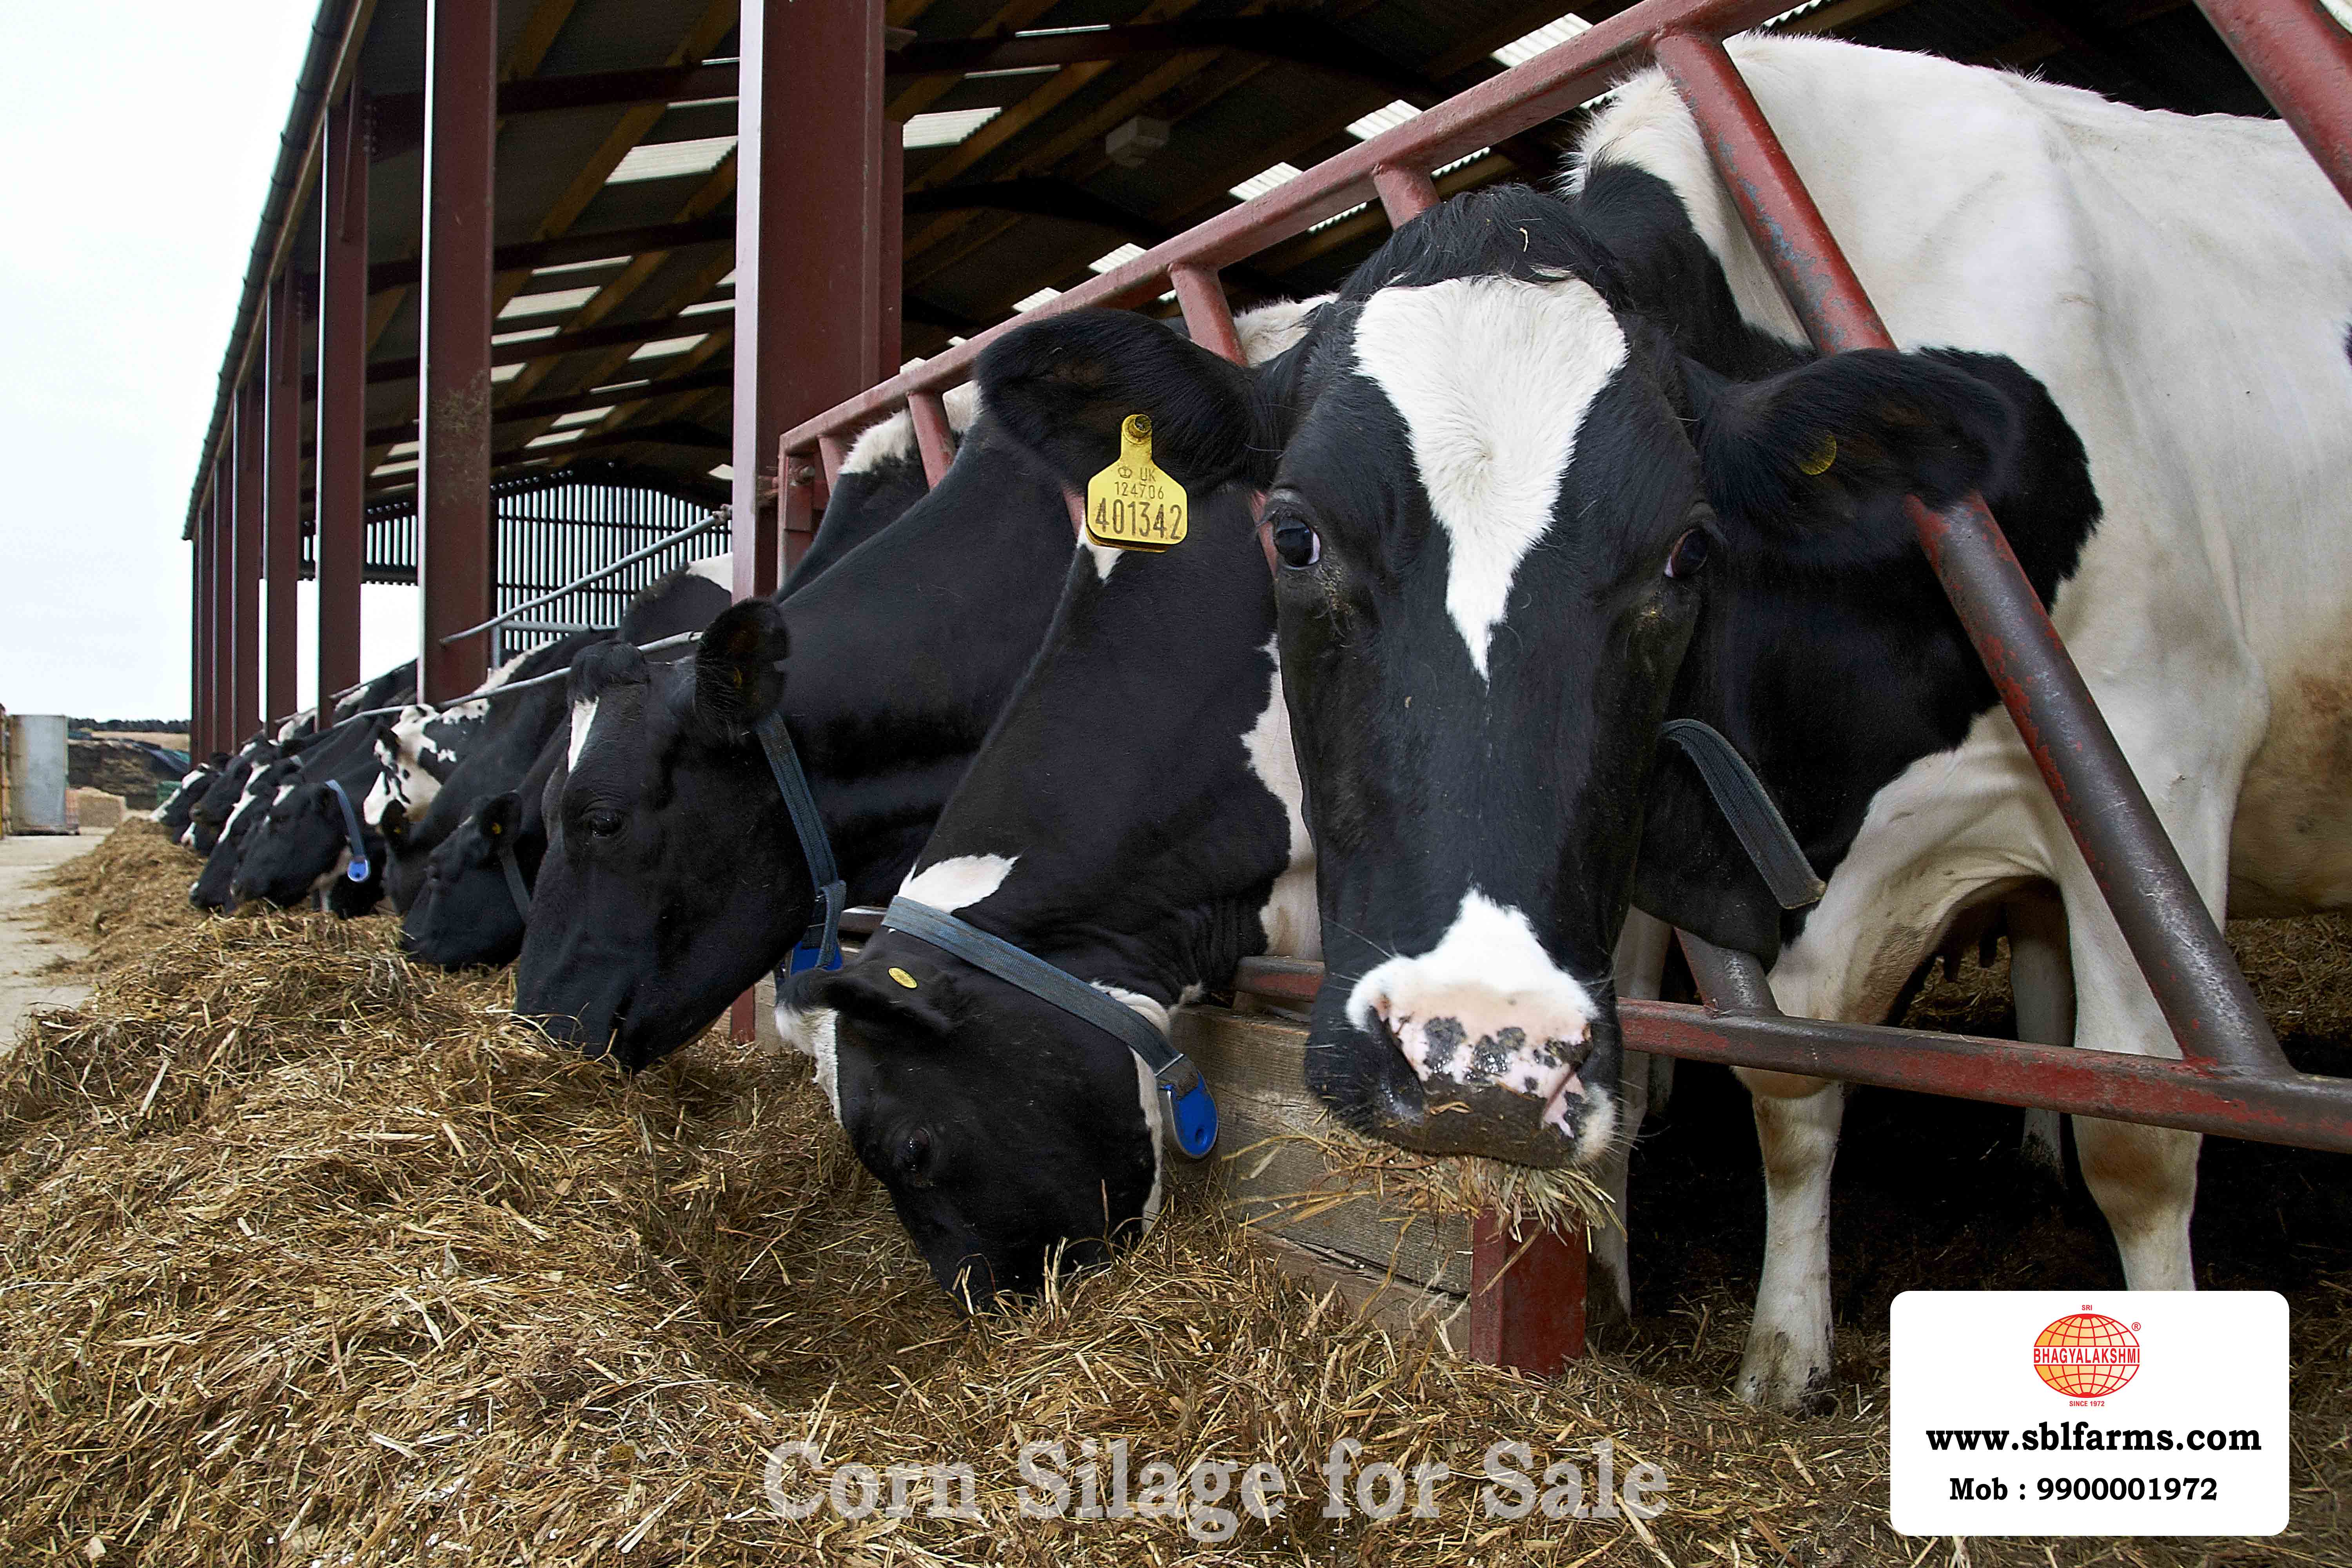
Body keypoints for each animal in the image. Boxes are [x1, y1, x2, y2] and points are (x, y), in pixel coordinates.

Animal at [970, 34, 2352, 1411]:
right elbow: (1781, 1086)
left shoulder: (2159, 760)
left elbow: (2139, 1132)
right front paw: (1764, 1345)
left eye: (1689, 550)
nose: (1475, 1064)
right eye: (1293, 534)